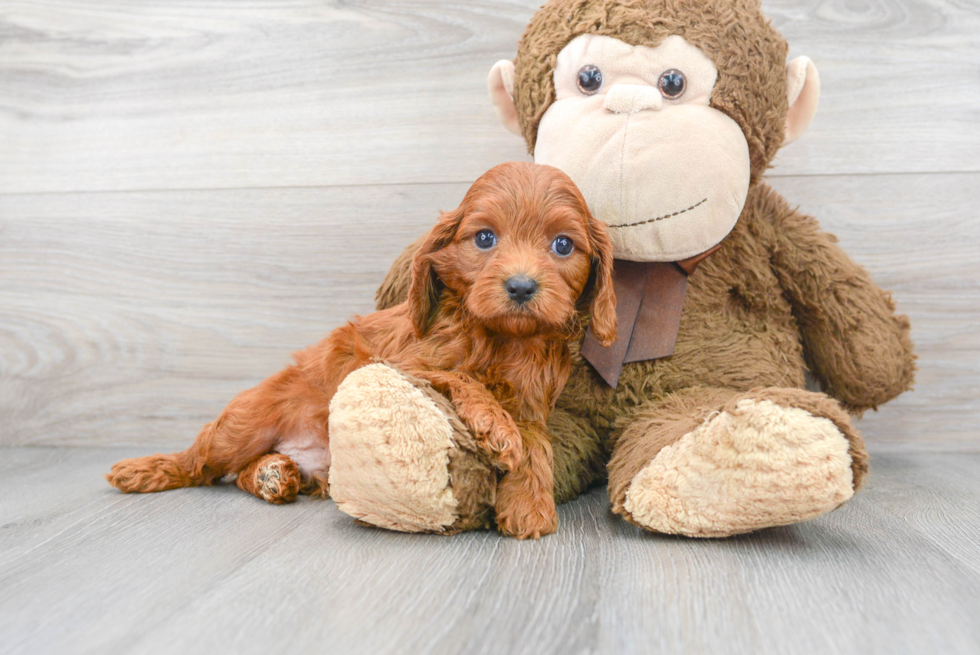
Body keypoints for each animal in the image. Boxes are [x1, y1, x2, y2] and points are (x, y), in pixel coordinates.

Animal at [105, 161, 612, 540]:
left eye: (562, 245)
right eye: (485, 238)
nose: (522, 286)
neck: (502, 337)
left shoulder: (533, 404)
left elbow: (538, 445)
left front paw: (529, 504)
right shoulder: (404, 362)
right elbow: (464, 376)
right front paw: (496, 426)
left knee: (245, 472)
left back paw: (273, 475)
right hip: (243, 423)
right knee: (201, 462)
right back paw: (145, 469)